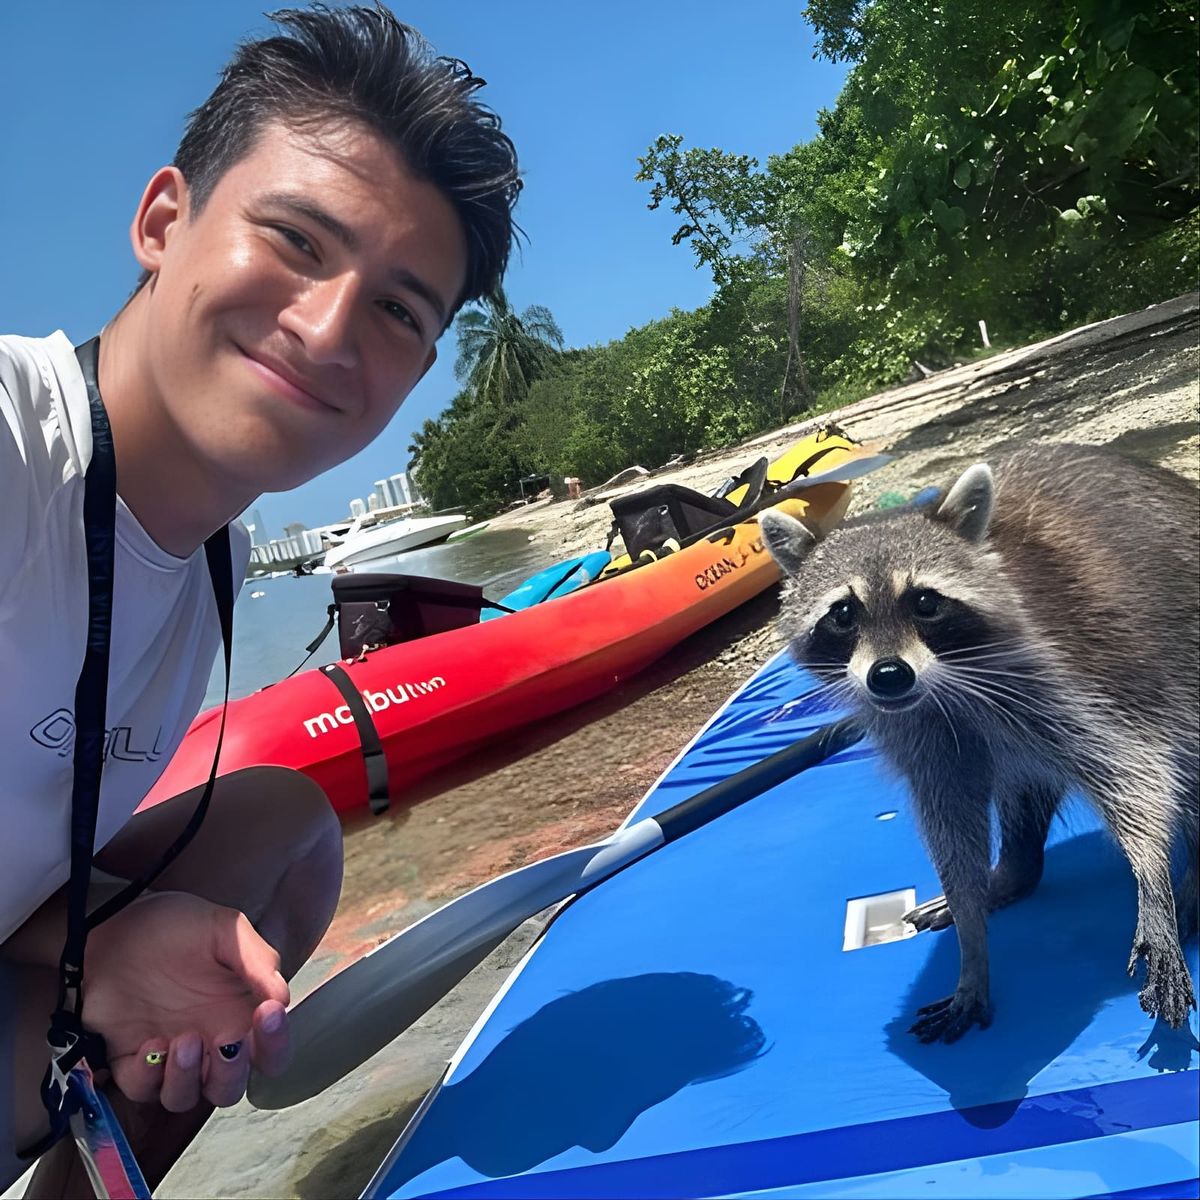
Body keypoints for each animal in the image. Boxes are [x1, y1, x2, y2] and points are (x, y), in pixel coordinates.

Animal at [763, 446, 1195, 1046]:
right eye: (843, 614)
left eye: (925, 602)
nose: (889, 676)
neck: (941, 686)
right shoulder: (922, 735)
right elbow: (950, 822)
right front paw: (971, 940)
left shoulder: (1070, 672)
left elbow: (1137, 771)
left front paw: (1153, 887)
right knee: (1022, 784)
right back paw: (1014, 869)